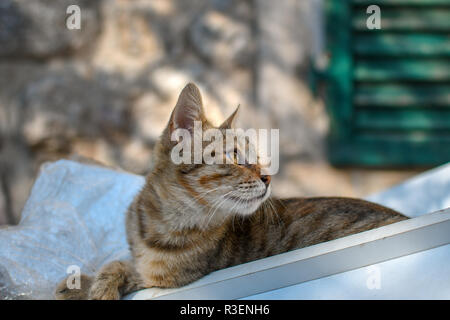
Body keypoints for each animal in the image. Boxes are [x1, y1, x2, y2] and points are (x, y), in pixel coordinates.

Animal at [54, 82, 406, 300]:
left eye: (259, 158)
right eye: (235, 156)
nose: (268, 177)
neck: (163, 224)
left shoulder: (166, 280)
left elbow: (125, 268)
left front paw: (91, 286)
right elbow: (120, 262)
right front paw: (83, 282)